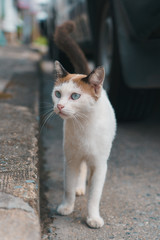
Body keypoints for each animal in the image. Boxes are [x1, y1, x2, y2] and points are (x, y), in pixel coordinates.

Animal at [52, 21, 116, 229]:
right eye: (57, 94)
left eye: (75, 96)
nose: (59, 106)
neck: (83, 126)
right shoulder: (70, 159)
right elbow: (68, 187)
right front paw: (66, 206)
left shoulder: (100, 164)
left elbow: (94, 196)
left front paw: (93, 218)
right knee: (81, 170)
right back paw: (79, 188)